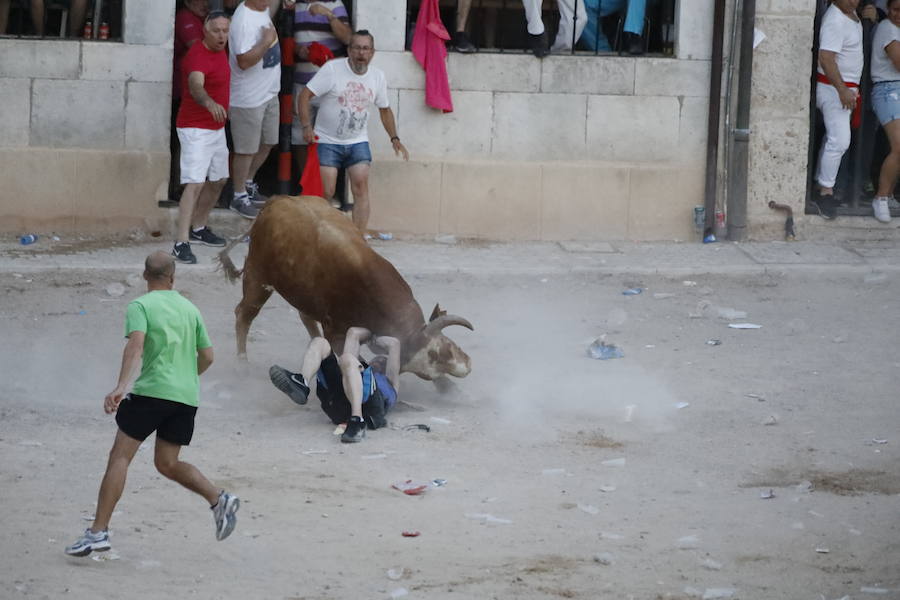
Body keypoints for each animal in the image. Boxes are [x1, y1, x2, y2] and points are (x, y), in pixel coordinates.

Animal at [218, 197, 474, 380]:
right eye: (435, 354)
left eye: (449, 345)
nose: (466, 367)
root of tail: (274, 201)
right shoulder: (336, 331)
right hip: (257, 276)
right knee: (244, 314)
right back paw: (242, 364)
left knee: (304, 316)